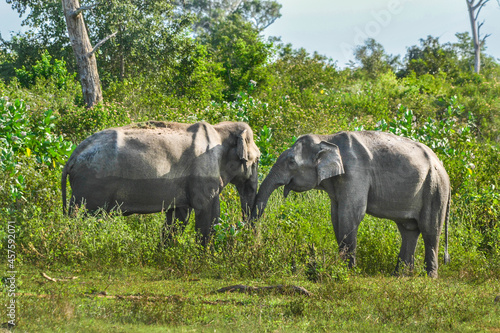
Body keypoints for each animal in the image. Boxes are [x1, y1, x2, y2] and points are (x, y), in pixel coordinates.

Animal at [62, 120, 262, 244]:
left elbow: (178, 216)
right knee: (83, 218)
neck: (220, 129)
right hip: (91, 186)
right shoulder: (203, 174)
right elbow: (208, 213)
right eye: (258, 159)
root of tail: (73, 155)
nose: (248, 235)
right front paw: (206, 256)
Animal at [252, 131, 452, 276]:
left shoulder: (355, 173)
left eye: (292, 162)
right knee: (408, 230)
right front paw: (342, 268)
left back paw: (429, 277)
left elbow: (351, 214)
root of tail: (443, 166)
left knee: (430, 230)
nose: (255, 237)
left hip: (435, 188)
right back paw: (401, 276)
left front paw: (348, 272)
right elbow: (336, 216)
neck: (326, 139)